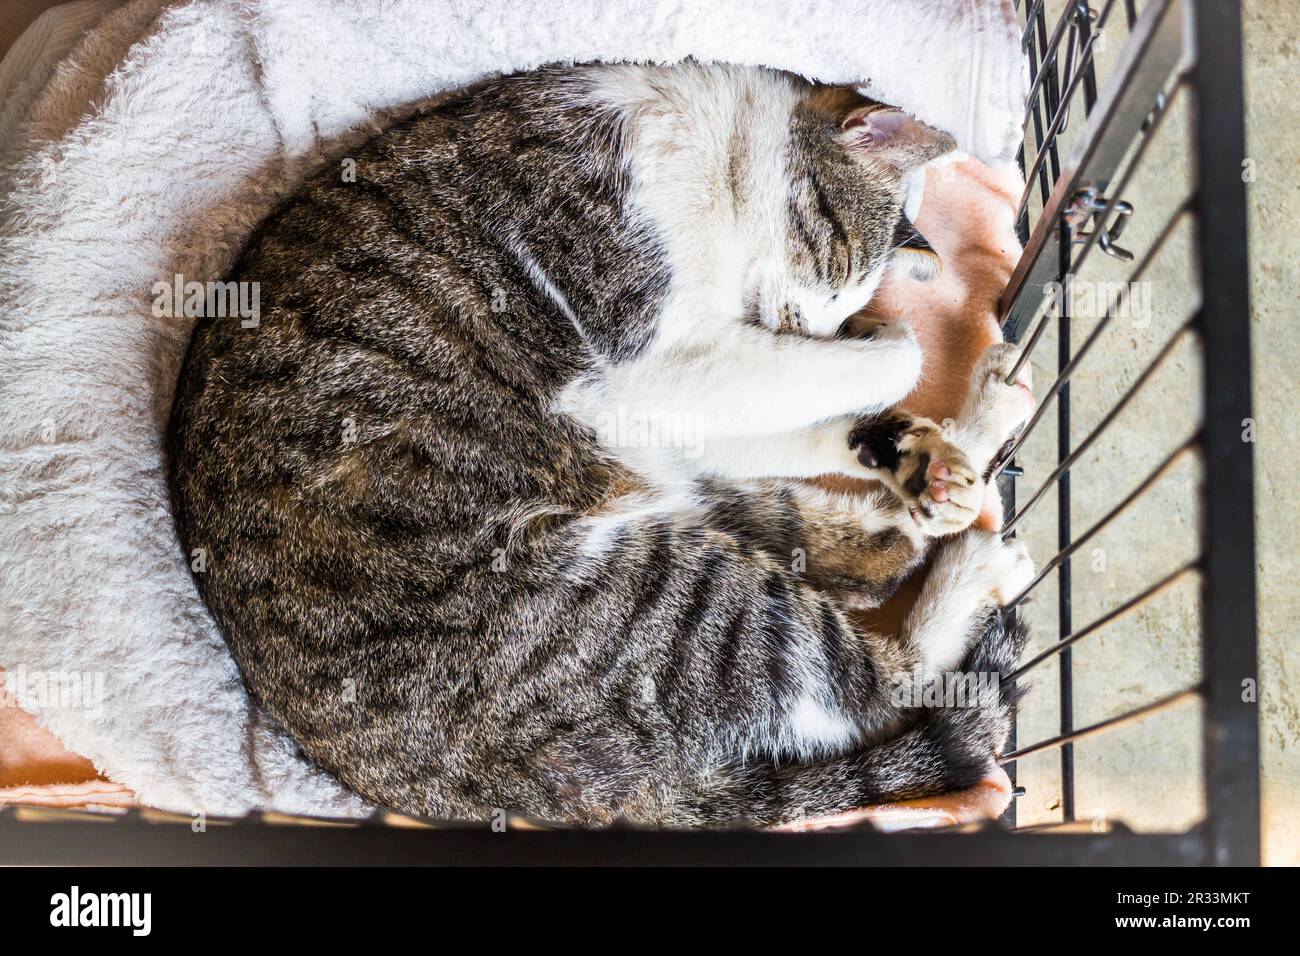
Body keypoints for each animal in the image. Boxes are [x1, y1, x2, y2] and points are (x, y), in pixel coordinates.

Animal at [165, 59, 1034, 827]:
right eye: (838, 260)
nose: (820, 326)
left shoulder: (674, 401)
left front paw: (909, 431)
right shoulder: (640, 370)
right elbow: (898, 357)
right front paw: (888, 362)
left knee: (859, 551)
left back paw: (954, 455)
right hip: (652, 593)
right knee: (885, 679)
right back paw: (973, 559)